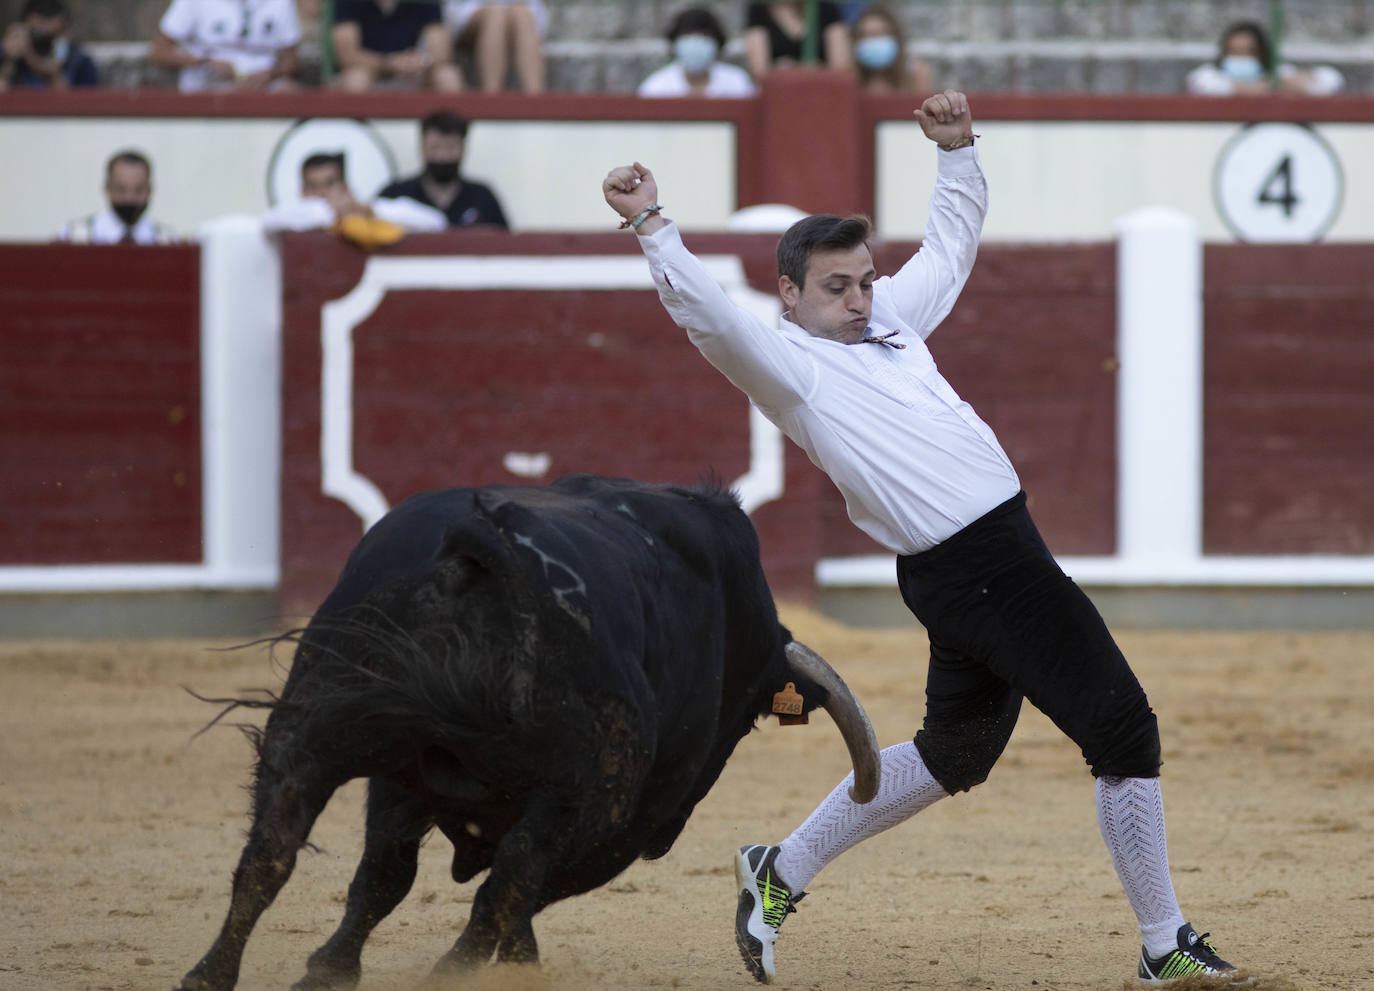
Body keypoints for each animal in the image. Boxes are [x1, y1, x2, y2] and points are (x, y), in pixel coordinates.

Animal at [177, 475, 879, 984]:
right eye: (744, 724)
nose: (668, 838)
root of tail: (488, 548)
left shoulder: (403, 778)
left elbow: (385, 874)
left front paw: (329, 969)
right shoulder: (620, 825)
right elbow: (518, 889)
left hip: (313, 726)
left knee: (272, 850)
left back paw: (211, 974)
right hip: (593, 795)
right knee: (510, 876)